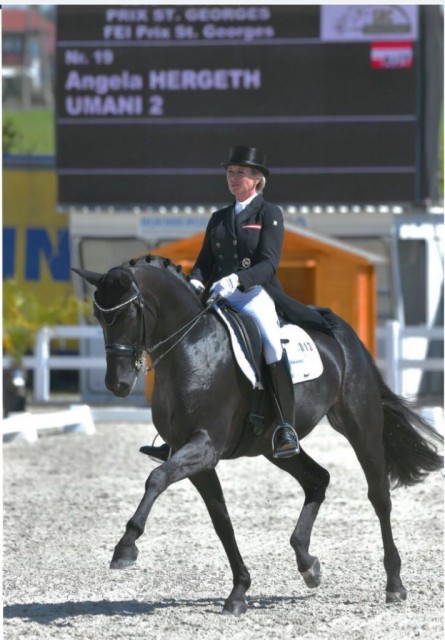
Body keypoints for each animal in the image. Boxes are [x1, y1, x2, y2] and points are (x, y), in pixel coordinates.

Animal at [73, 254, 440, 616]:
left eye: (129, 312)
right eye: (99, 316)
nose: (117, 385)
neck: (193, 348)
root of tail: (343, 332)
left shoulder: (205, 446)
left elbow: (156, 478)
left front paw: (125, 547)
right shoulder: (195, 456)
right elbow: (221, 521)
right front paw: (239, 592)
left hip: (360, 424)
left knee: (379, 496)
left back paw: (394, 584)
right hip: (273, 445)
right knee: (317, 479)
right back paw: (308, 564)